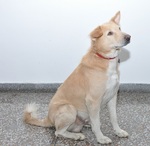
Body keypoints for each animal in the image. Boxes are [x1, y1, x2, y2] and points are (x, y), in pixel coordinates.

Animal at [23, 11, 130, 144]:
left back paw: (86, 125)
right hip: (69, 109)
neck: (104, 58)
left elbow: (114, 118)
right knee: (58, 132)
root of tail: (48, 118)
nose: (129, 37)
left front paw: (118, 131)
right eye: (110, 33)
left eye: (119, 29)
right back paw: (76, 136)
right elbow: (97, 123)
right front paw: (100, 138)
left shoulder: (112, 97)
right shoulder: (93, 100)